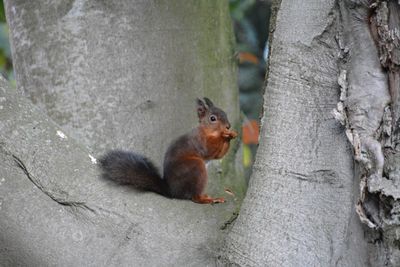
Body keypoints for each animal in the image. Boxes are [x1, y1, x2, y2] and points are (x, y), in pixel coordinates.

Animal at [99, 98, 238, 205]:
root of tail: (172, 191)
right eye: (212, 118)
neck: (207, 132)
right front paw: (225, 135)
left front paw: (231, 135)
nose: (228, 126)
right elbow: (209, 150)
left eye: (225, 113)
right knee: (194, 197)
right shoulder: (199, 142)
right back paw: (208, 199)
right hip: (196, 167)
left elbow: (219, 155)